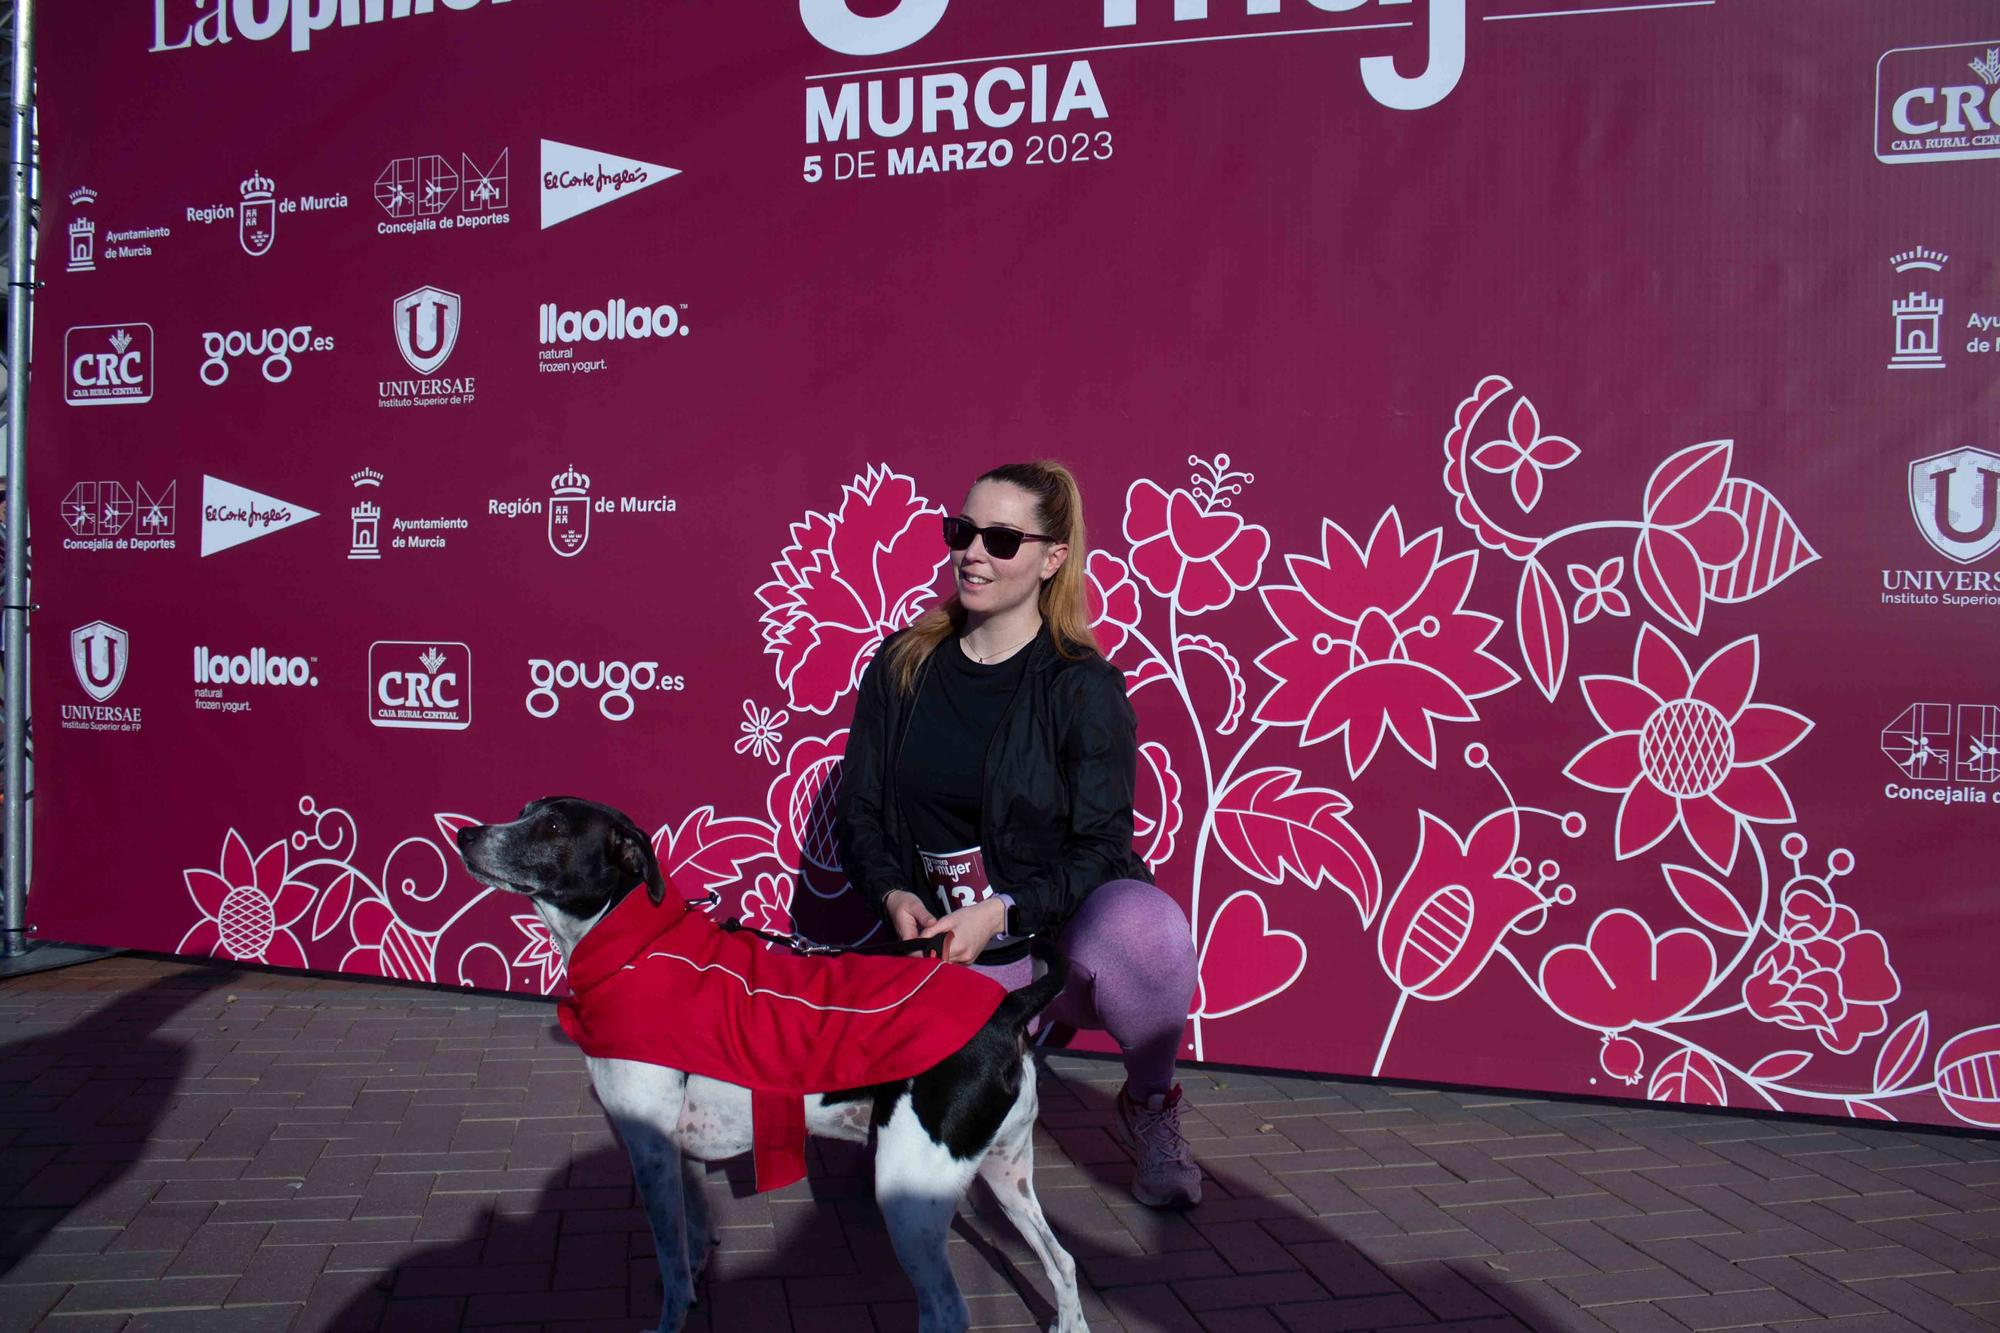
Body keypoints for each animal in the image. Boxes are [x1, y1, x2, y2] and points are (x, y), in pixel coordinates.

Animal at [456, 800, 1088, 1328]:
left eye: (552, 826)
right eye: (526, 812)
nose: (465, 833)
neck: (636, 946)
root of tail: (1006, 1006)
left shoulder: (648, 1149)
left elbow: (669, 1264)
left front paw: (671, 1316)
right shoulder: (677, 1150)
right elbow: (693, 1234)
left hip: (910, 1193)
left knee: (948, 1309)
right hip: (1006, 1172)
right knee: (1063, 1261)